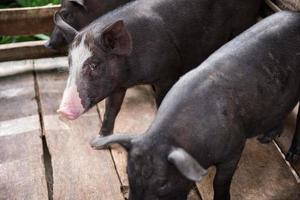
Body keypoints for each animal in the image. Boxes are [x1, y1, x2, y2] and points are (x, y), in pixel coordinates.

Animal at [55, 0, 262, 136]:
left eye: (94, 64)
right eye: (70, 62)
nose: (62, 111)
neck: (132, 75)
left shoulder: (167, 75)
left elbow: (160, 102)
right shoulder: (118, 84)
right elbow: (112, 109)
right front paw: (99, 140)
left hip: (244, 20)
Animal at [91, 11, 300, 200]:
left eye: (162, 184)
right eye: (128, 173)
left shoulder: (234, 148)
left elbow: (221, 181)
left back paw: (284, 152)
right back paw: (265, 139)